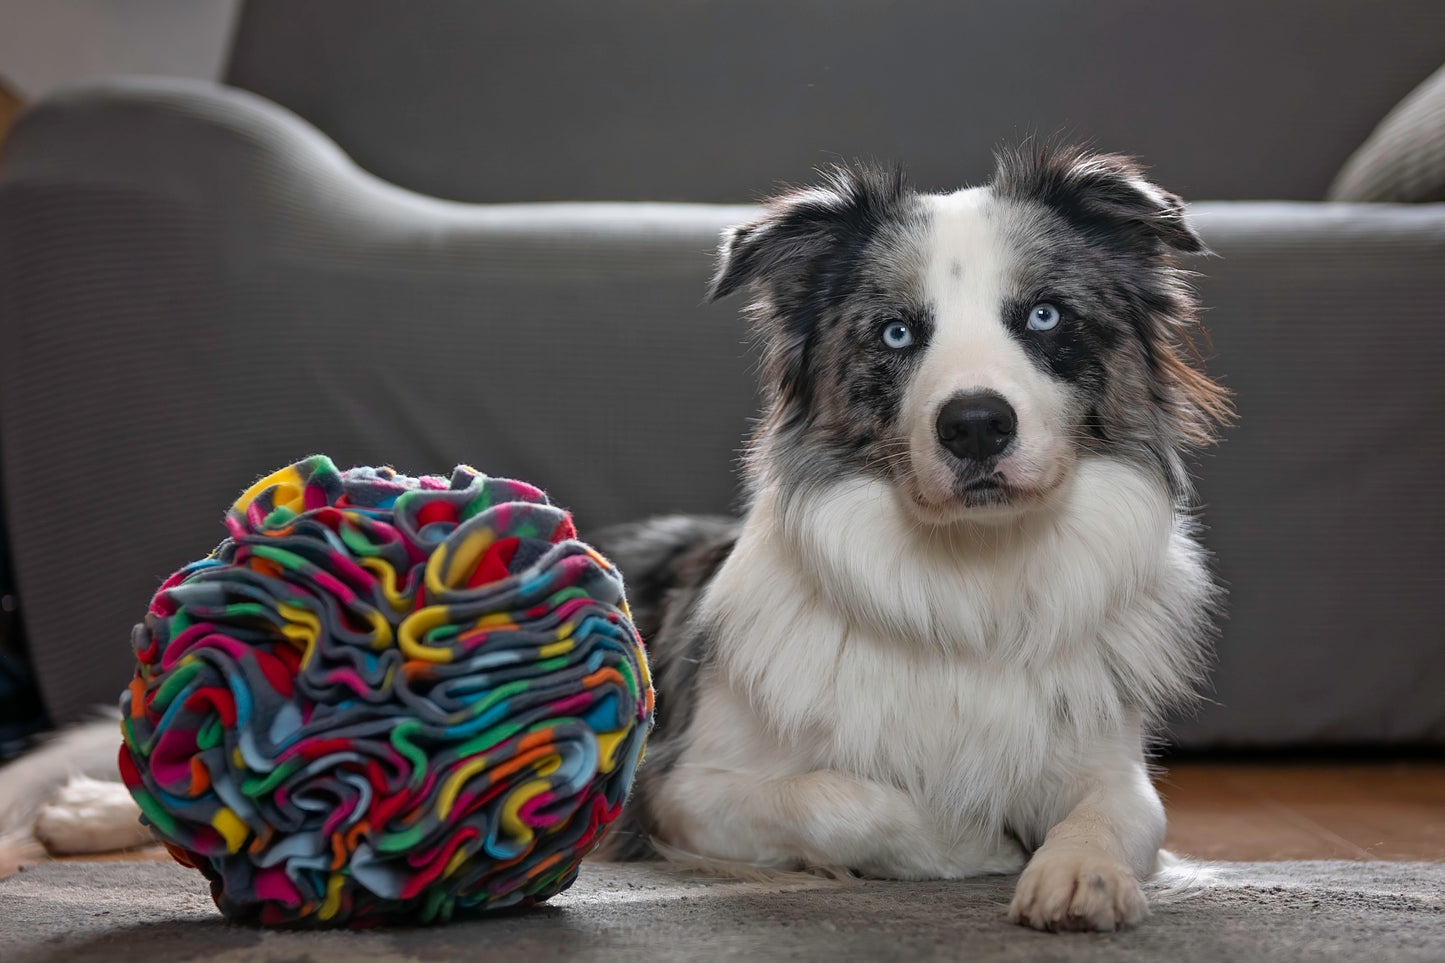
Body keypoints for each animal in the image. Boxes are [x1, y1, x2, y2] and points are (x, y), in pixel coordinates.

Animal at [0, 142, 1225, 931]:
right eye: (895, 333)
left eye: (1045, 318)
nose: (975, 424)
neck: (965, 579)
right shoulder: (688, 783)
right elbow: (849, 800)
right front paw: (968, 846)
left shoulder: (1108, 761)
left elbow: (1113, 818)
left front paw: (1074, 877)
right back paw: (79, 814)